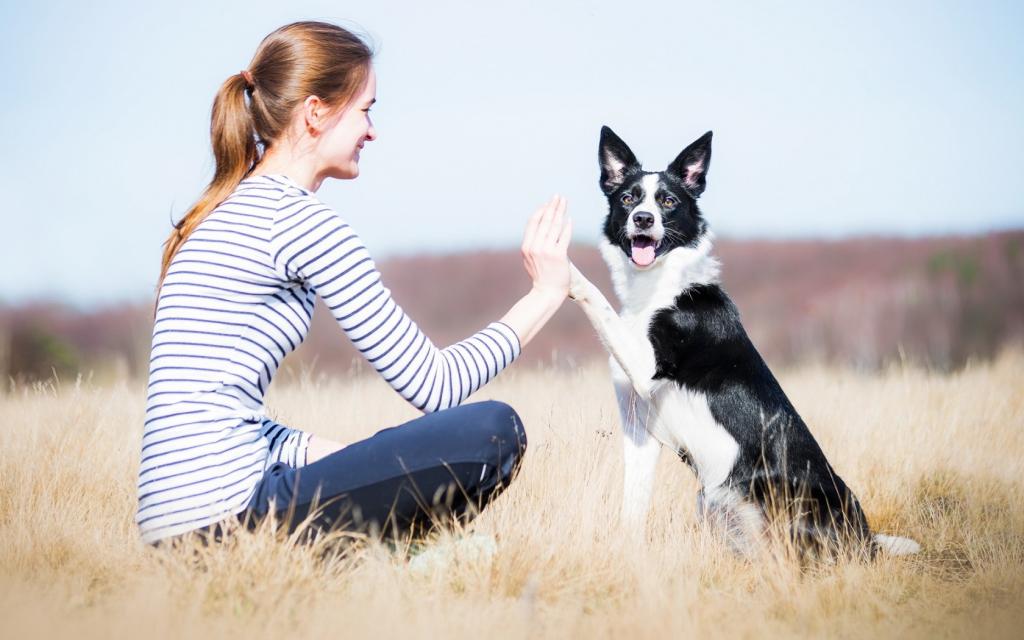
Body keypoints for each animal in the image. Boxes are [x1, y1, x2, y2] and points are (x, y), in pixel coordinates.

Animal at [569, 127, 921, 557]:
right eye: (627, 198)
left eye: (668, 201)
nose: (643, 218)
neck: (657, 289)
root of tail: (866, 540)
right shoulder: (639, 430)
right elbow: (632, 506)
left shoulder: (645, 367)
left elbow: (596, 298)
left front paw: (559, 264)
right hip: (712, 498)